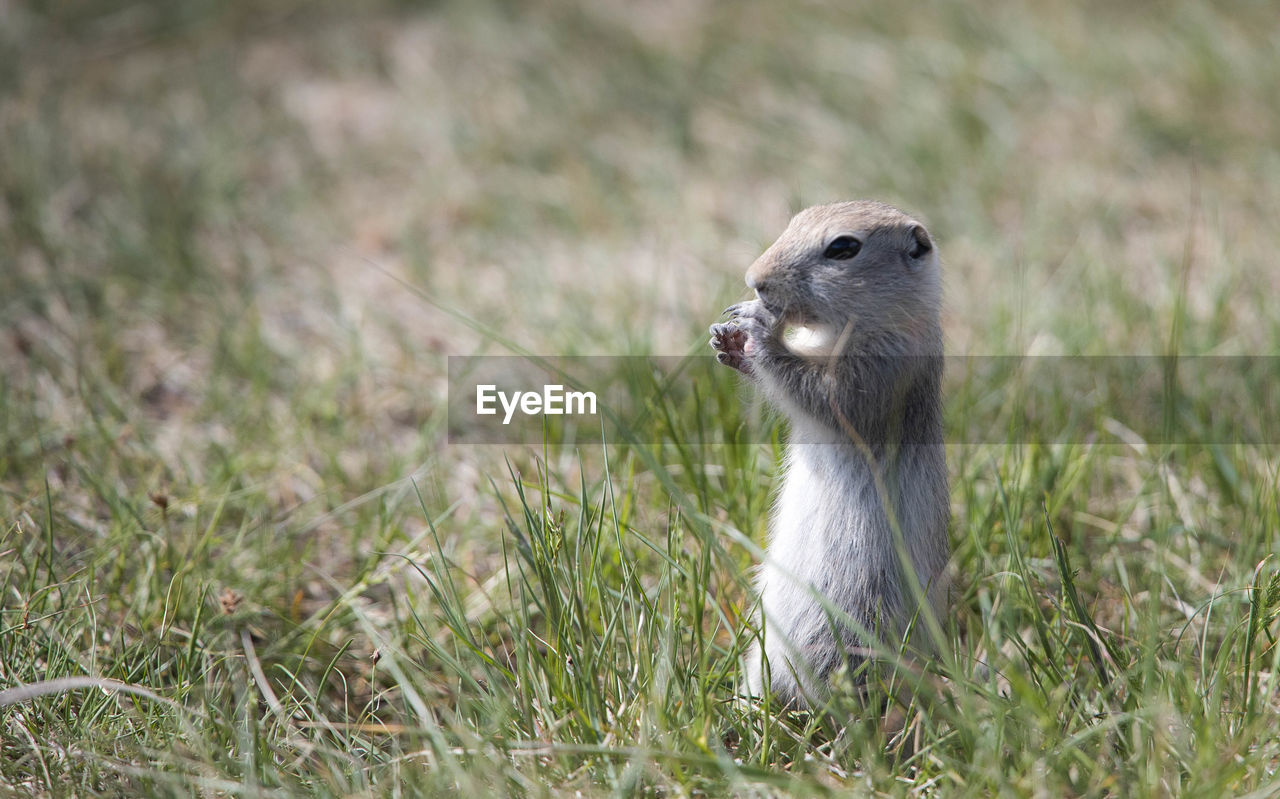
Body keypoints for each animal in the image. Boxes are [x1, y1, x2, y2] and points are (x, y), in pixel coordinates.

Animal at [711, 199, 952, 706]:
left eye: (843, 248)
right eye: (794, 220)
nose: (754, 279)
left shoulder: (878, 373)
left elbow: (818, 394)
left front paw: (758, 328)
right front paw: (729, 334)